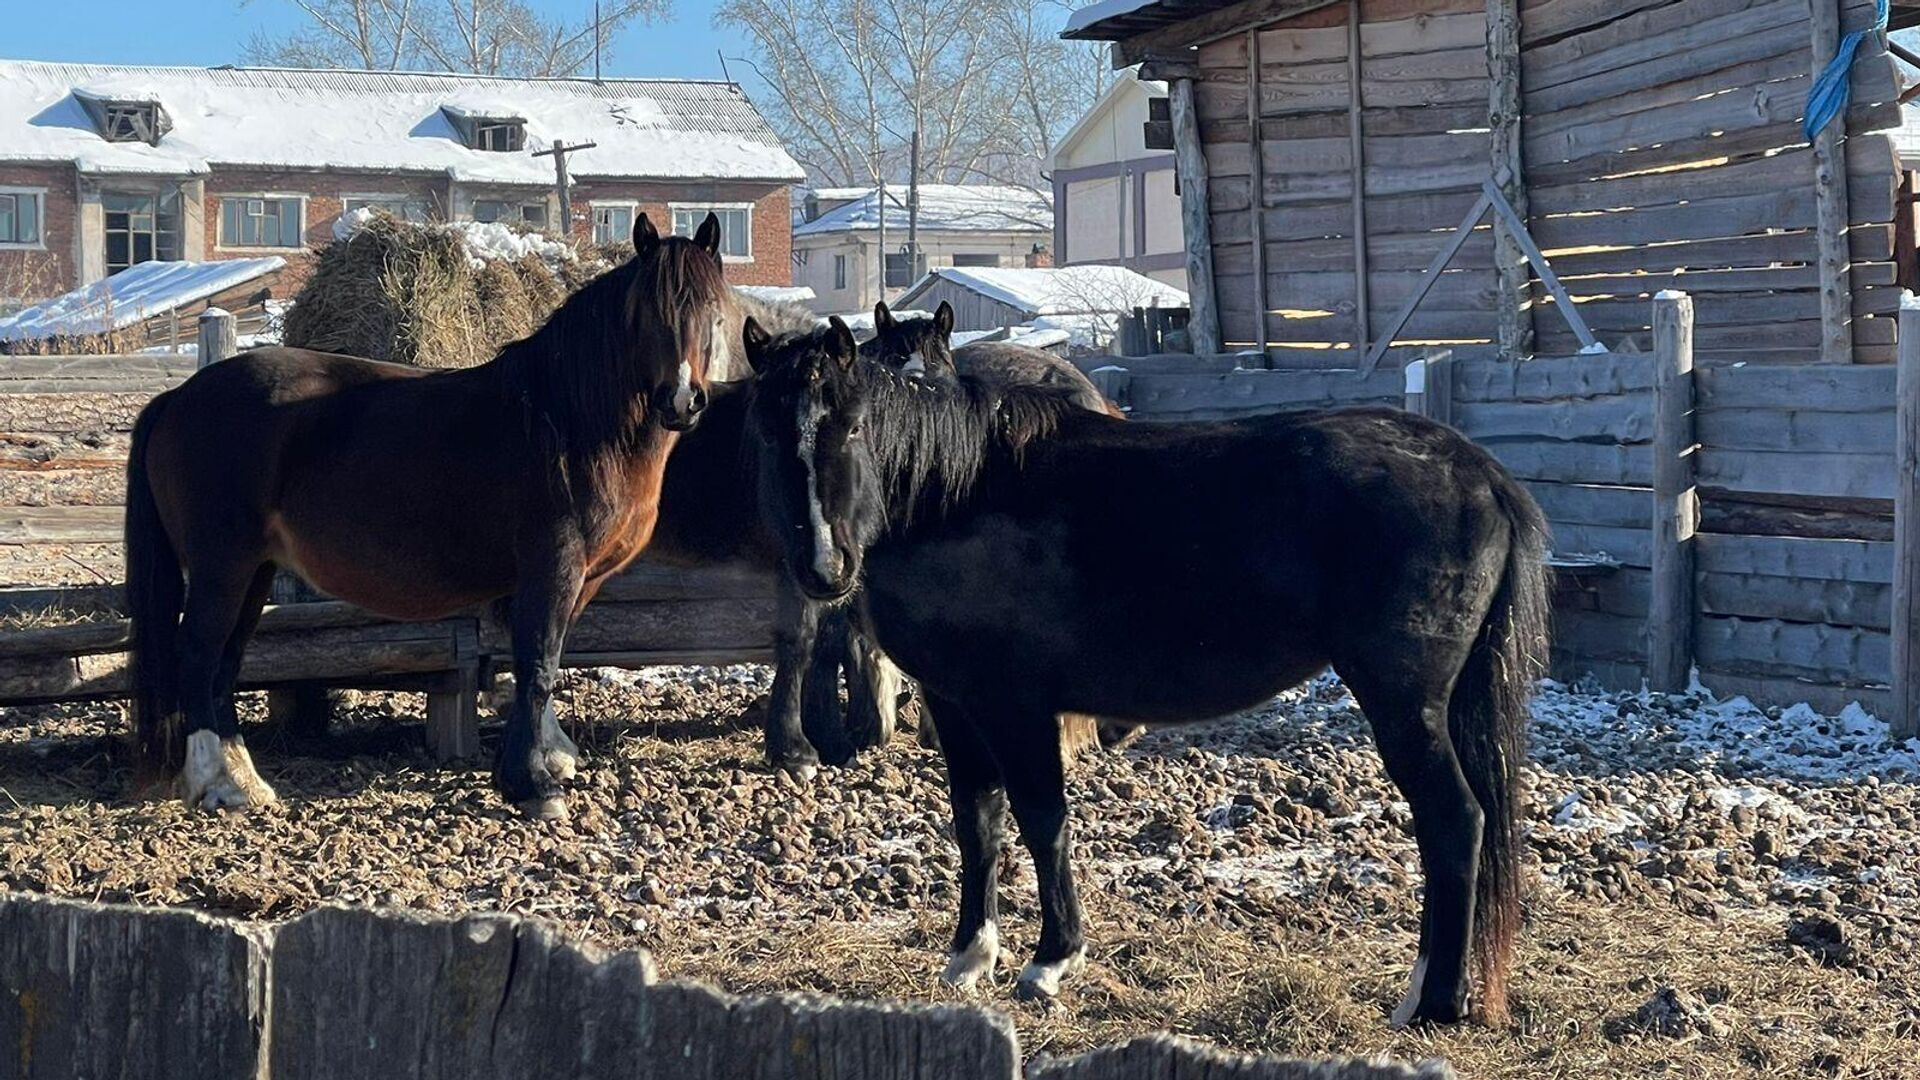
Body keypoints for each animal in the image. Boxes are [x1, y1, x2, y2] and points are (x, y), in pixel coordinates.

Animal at [125, 212, 725, 814]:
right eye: (647, 311)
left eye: (713, 312)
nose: (682, 401)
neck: (566, 422)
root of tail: (179, 398)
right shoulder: (554, 567)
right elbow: (538, 666)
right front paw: (532, 783)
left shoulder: (581, 579)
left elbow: (540, 664)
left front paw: (547, 757)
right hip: (222, 565)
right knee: (198, 655)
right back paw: (216, 780)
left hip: (255, 570)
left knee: (225, 662)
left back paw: (245, 782)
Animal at [741, 320, 1551, 1022]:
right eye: (769, 434)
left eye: (852, 427)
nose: (824, 568)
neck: (954, 493)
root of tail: (1480, 473)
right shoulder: (955, 705)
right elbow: (979, 825)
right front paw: (971, 957)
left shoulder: (1015, 706)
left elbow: (1043, 822)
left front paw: (1051, 961)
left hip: (1404, 702)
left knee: (1454, 821)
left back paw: (1435, 1005)